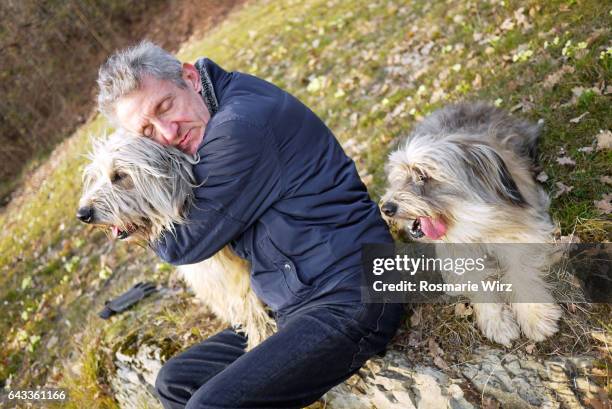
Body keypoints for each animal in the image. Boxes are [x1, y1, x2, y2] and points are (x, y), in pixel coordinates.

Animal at [380, 102, 560, 344]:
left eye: (423, 175)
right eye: (398, 179)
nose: (386, 208)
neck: (469, 221)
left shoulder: (522, 233)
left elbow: (519, 271)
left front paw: (535, 315)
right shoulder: (458, 255)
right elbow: (478, 282)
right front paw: (497, 321)